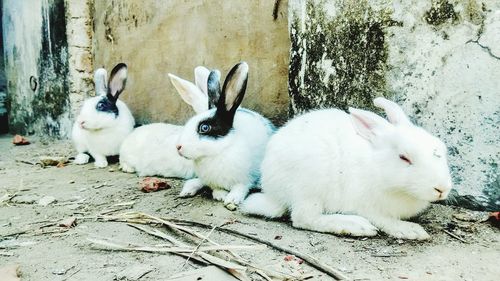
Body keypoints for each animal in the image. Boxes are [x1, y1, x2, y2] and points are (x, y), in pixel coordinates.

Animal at [176, 62, 276, 205]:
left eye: (204, 128)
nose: (178, 147)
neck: (219, 151)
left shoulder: (245, 179)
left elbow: (240, 188)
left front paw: (232, 199)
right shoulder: (214, 182)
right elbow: (216, 188)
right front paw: (221, 195)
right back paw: (188, 189)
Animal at [241, 97, 454, 240]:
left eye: (441, 149)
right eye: (404, 158)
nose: (442, 189)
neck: (378, 167)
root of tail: (272, 191)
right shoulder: (366, 206)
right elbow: (385, 220)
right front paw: (411, 230)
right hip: (310, 187)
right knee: (304, 218)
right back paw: (355, 226)